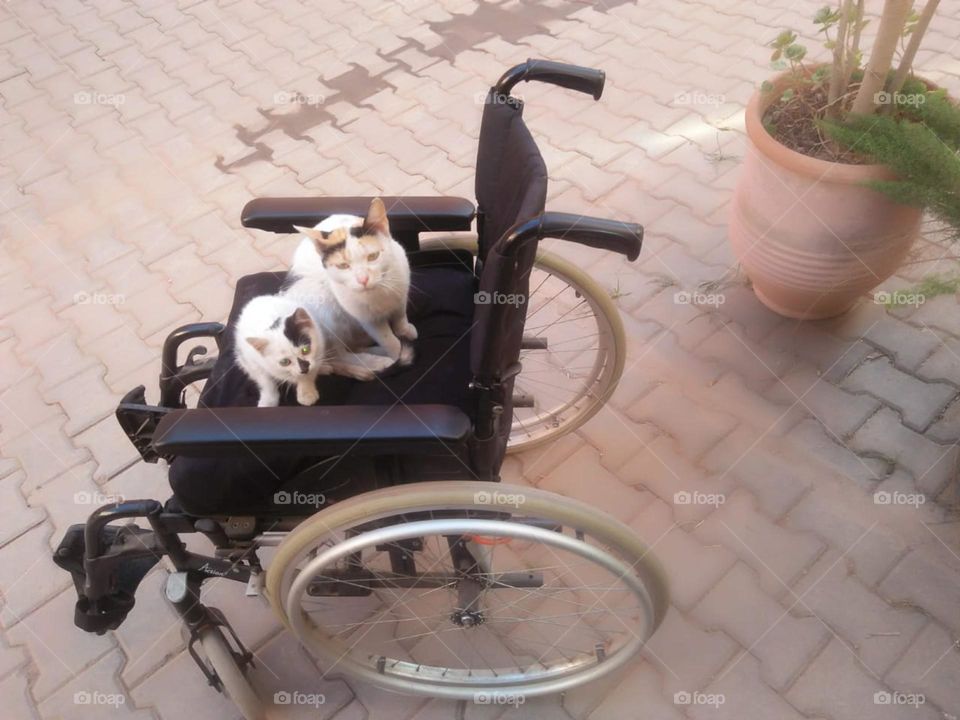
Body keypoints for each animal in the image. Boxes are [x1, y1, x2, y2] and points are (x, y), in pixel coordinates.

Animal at [288, 197, 416, 366]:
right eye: (343, 266)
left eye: (373, 256)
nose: (363, 279)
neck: (379, 292)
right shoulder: (366, 319)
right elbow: (387, 339)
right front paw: (397, 354)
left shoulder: (402, 287)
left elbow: (400, 314)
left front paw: (405, 330)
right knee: (340, 354)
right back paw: (377, 360)